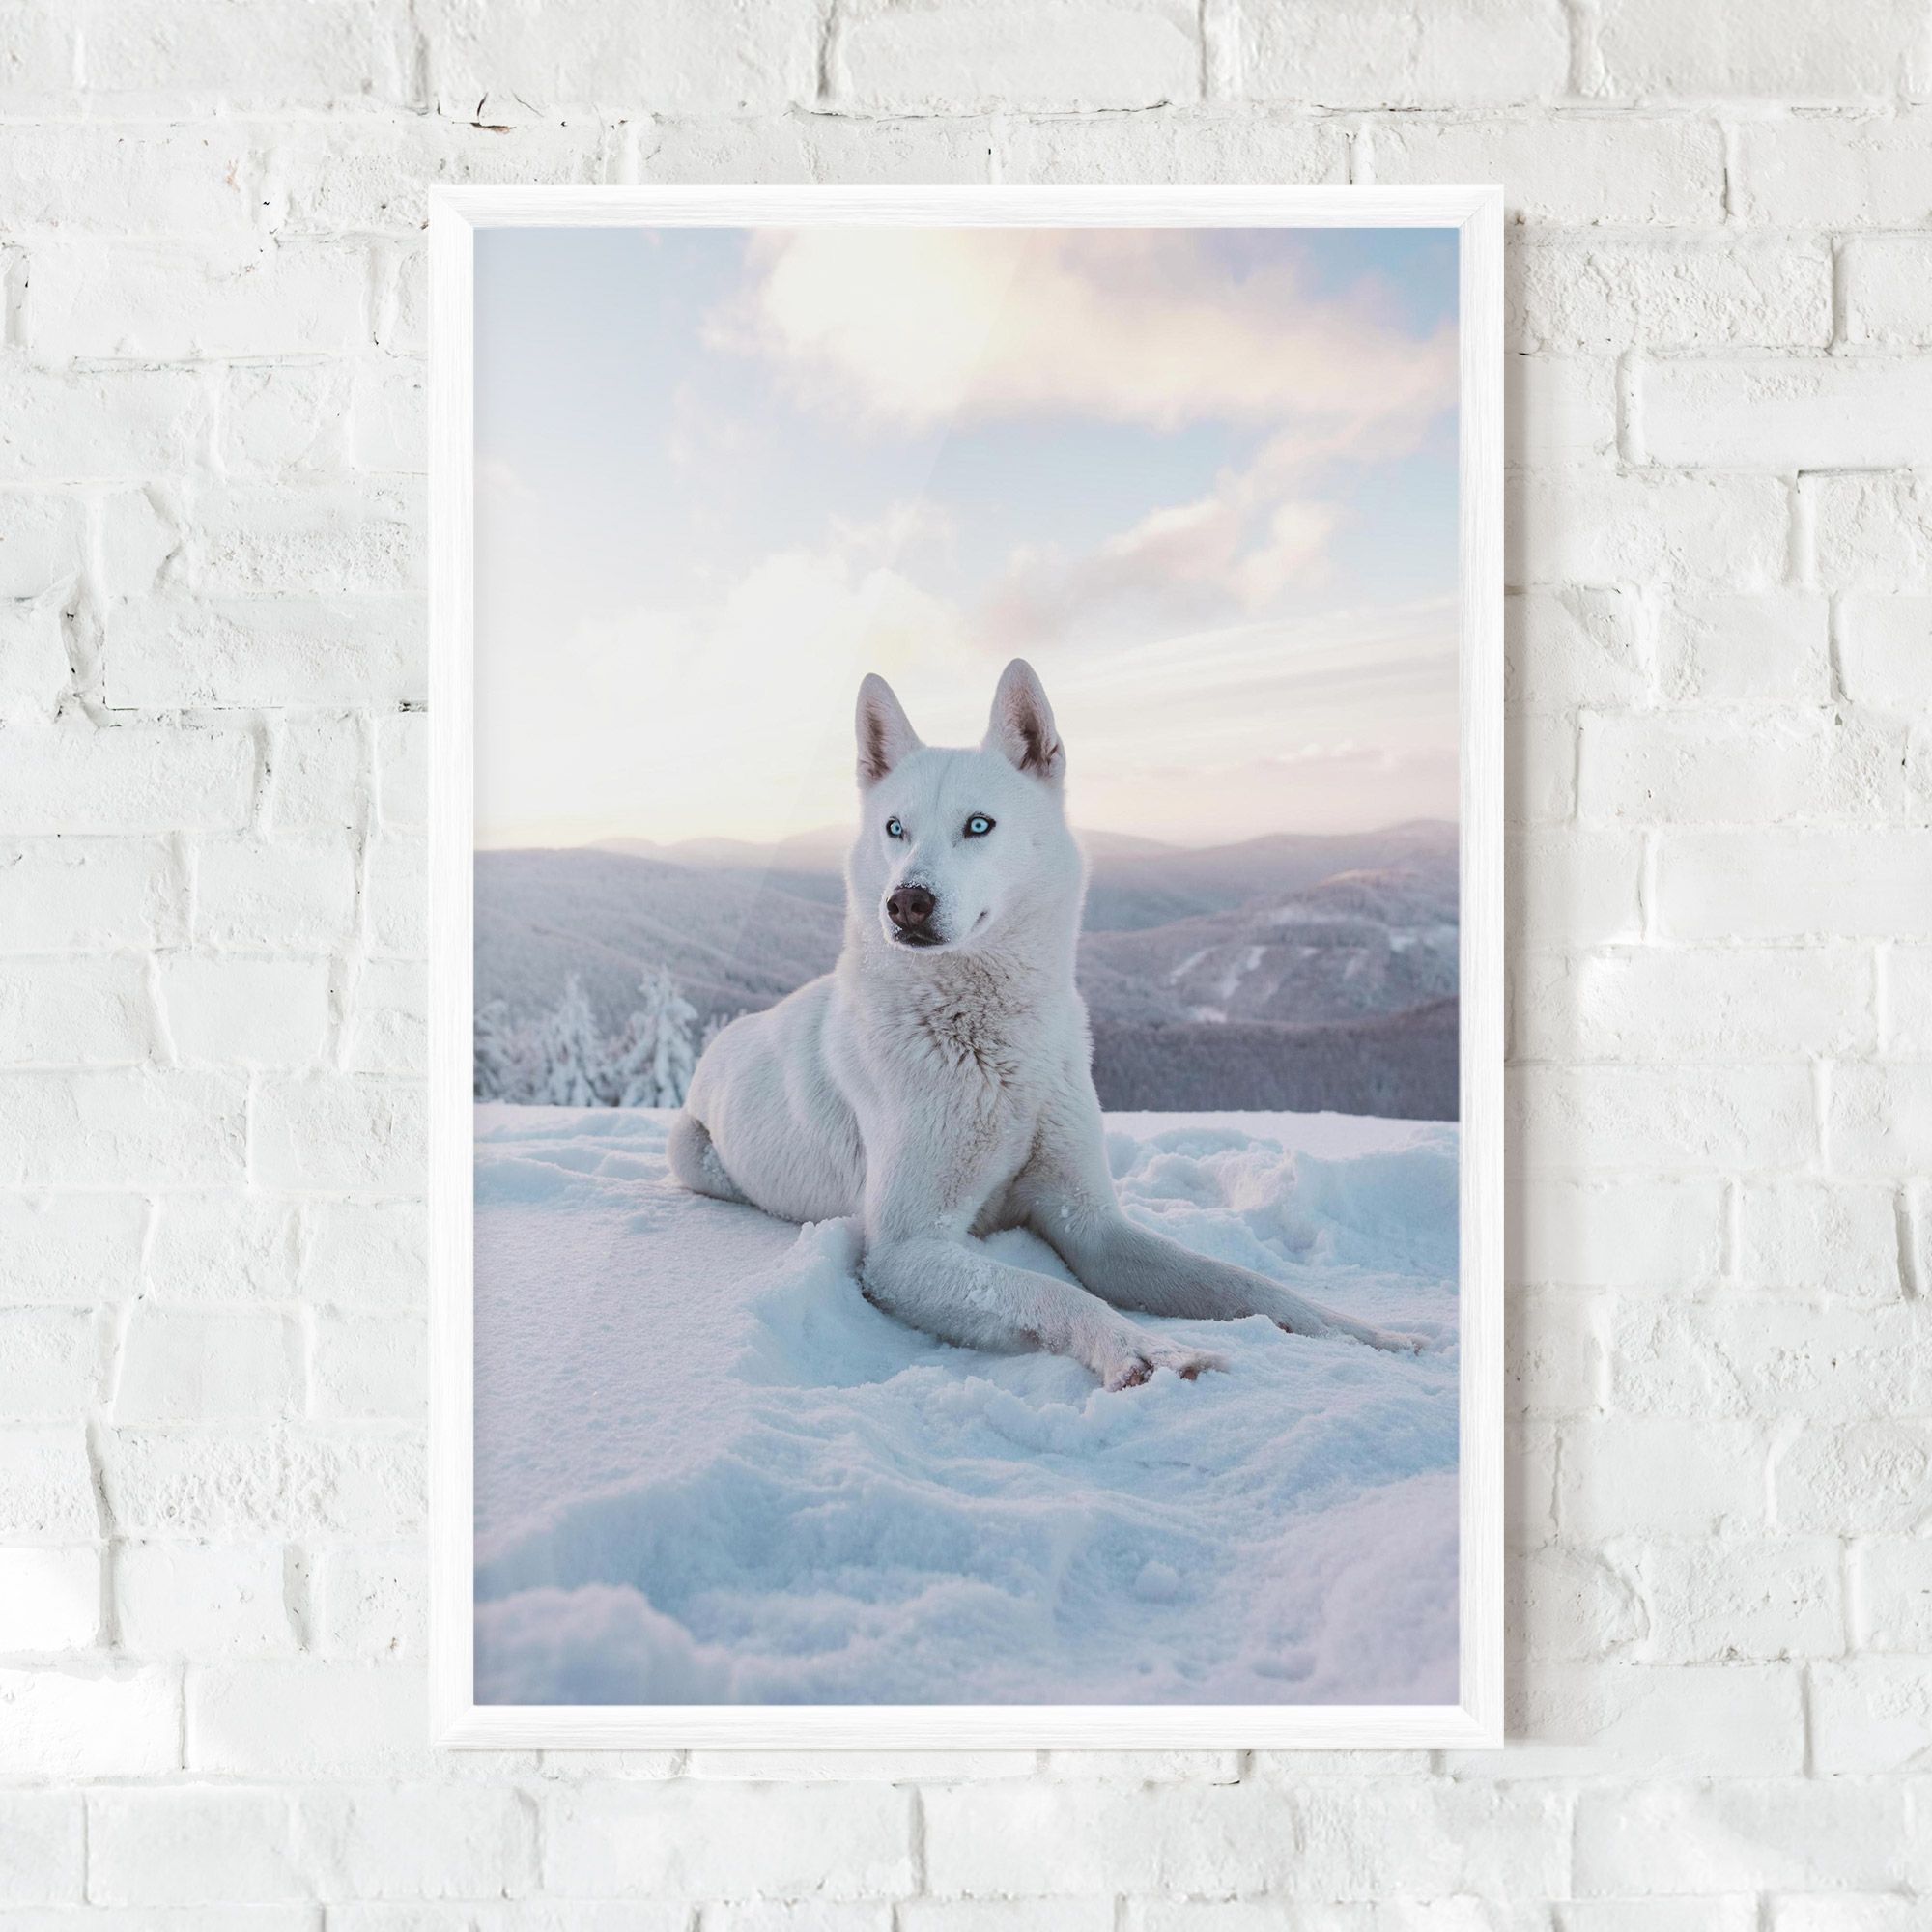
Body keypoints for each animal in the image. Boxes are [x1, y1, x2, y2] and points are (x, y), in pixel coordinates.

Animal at [668, 659, 1417, 1389]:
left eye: (978, 825)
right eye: (894, 829)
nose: (905, 902)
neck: (994, 1046)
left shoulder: (1091, 1223)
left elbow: (1240, 1282)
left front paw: (1363, 1333)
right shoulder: (908, 1250)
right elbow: (1053, 1292)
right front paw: (1145, 1350)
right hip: (694, 1155)